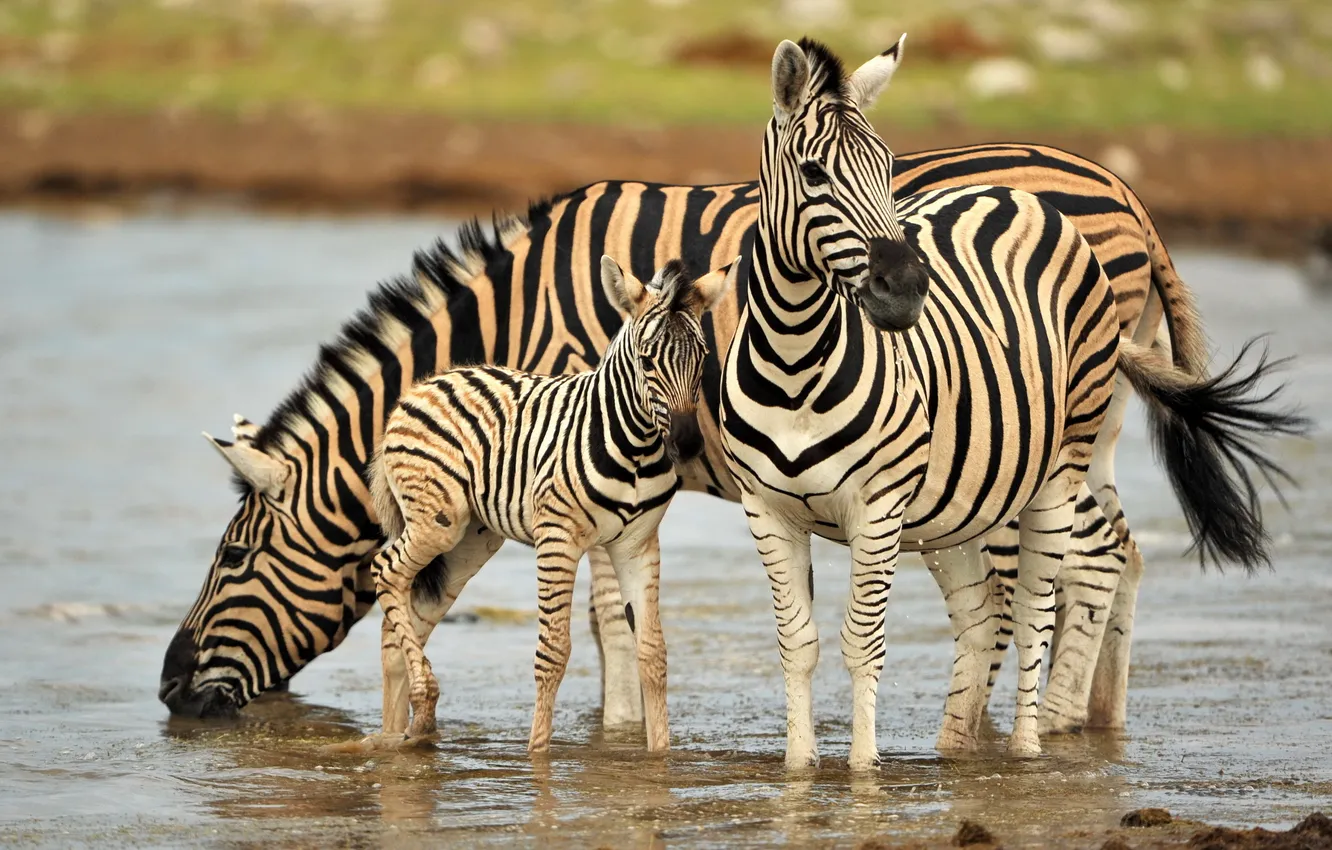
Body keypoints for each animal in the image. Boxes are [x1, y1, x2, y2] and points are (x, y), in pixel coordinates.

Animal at [364, 257, 732, 751]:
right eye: (647, 359)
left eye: (704, 357)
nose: (688, 443)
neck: (635, 447)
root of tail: (424, 385)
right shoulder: (558, 537)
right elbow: (553, 651)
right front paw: (537, 754)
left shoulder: (638, 544)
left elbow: (653, 652)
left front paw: (660, 755)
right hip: (437, 522)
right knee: (385, 570)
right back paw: (423, 703)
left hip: (469, 540)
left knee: (400, 611)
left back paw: (399, 731)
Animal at [717, 37, 1306, 766]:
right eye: (813, 173)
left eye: (889, 169)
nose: (906, 288)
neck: (797, 359)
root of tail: (1020, 197)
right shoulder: (767, 511)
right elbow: (798, 645)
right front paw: (799, 771)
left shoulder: (876, 508)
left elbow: (863, 644)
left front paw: (863, 774)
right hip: (964, 500)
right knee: (983, 614)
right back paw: (958, 750)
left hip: (1059, 468)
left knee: (1034, 607)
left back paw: (1029, 748)